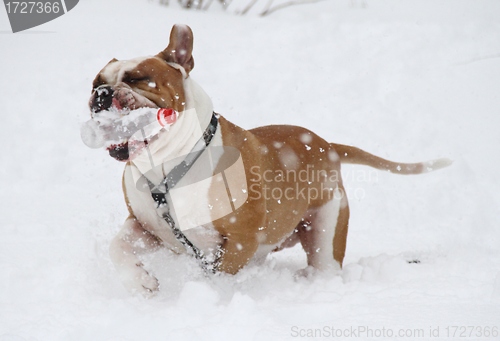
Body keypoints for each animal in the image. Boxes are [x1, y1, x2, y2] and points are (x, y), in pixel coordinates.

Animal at [88, 23, 452, 294]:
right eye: (95, 83)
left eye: (137, 79)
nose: (101, 94)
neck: (168, 165)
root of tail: (327, 145)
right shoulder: (147, 228)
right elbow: (117, 248)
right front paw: (140, 281)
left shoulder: (241, 240)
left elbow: (221, 276)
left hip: (326, 227)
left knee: (324, 263)